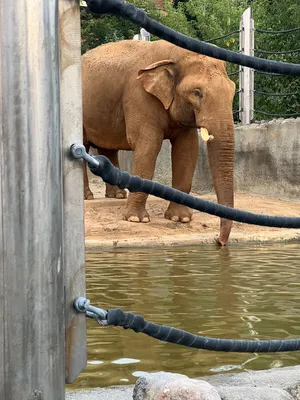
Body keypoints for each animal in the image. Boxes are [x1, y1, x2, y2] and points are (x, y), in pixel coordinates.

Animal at [81, 41, 234, 247]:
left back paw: (118, 195)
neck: (172, 53)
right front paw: (136, 219)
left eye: (233, 91)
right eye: (196, 92)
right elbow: (148, 146)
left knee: (108, 148)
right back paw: (87, 197)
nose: (219, 241)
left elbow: (187, 150)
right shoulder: (139, 96)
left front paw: (181, 218)